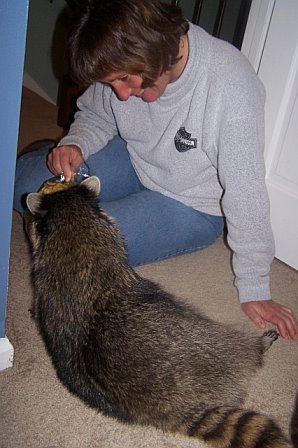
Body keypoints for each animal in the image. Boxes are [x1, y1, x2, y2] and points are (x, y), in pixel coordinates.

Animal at [25, 176, 292, 448]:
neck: (73, 228)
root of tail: (178, 408)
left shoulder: (44, 287)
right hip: (207, 342)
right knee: (238, 346)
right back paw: (258, 346)